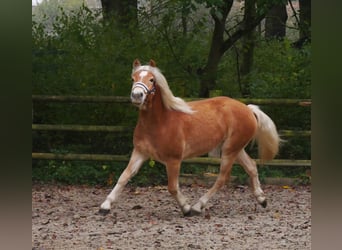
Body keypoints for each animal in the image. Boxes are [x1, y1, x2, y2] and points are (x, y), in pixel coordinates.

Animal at [99, 59, 280, 217]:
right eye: (133, 78)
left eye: (152, 79)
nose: (137, 95)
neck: (159, 122)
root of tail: (248, 109)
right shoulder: (140, 153)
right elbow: (124, 177)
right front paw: (105, 206)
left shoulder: (173, 160)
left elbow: (172, 187)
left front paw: (186, 209)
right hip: (234, 148)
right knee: (251, 166)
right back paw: (262, 199)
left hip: (230, 150)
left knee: (223, 178)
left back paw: (198, 206)